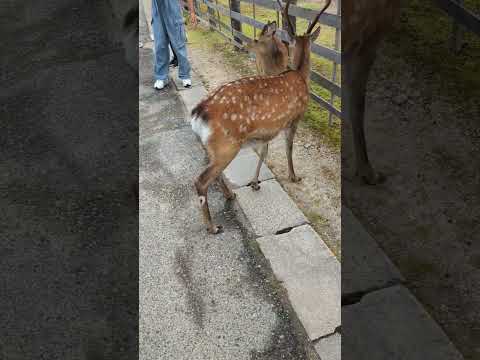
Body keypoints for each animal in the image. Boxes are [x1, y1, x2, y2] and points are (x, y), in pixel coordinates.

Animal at [189, 0, 332, 233]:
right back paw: (212, 226)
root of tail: (197, 113)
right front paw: (294, 176)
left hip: (214, 147)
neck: (301, 77)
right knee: (200, 180)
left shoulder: (267, 130)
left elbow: (264, 151)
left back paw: (231, 195)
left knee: (213, 173)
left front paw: (255, 182)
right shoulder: (294, 118)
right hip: (226, 145)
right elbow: (288, 148)